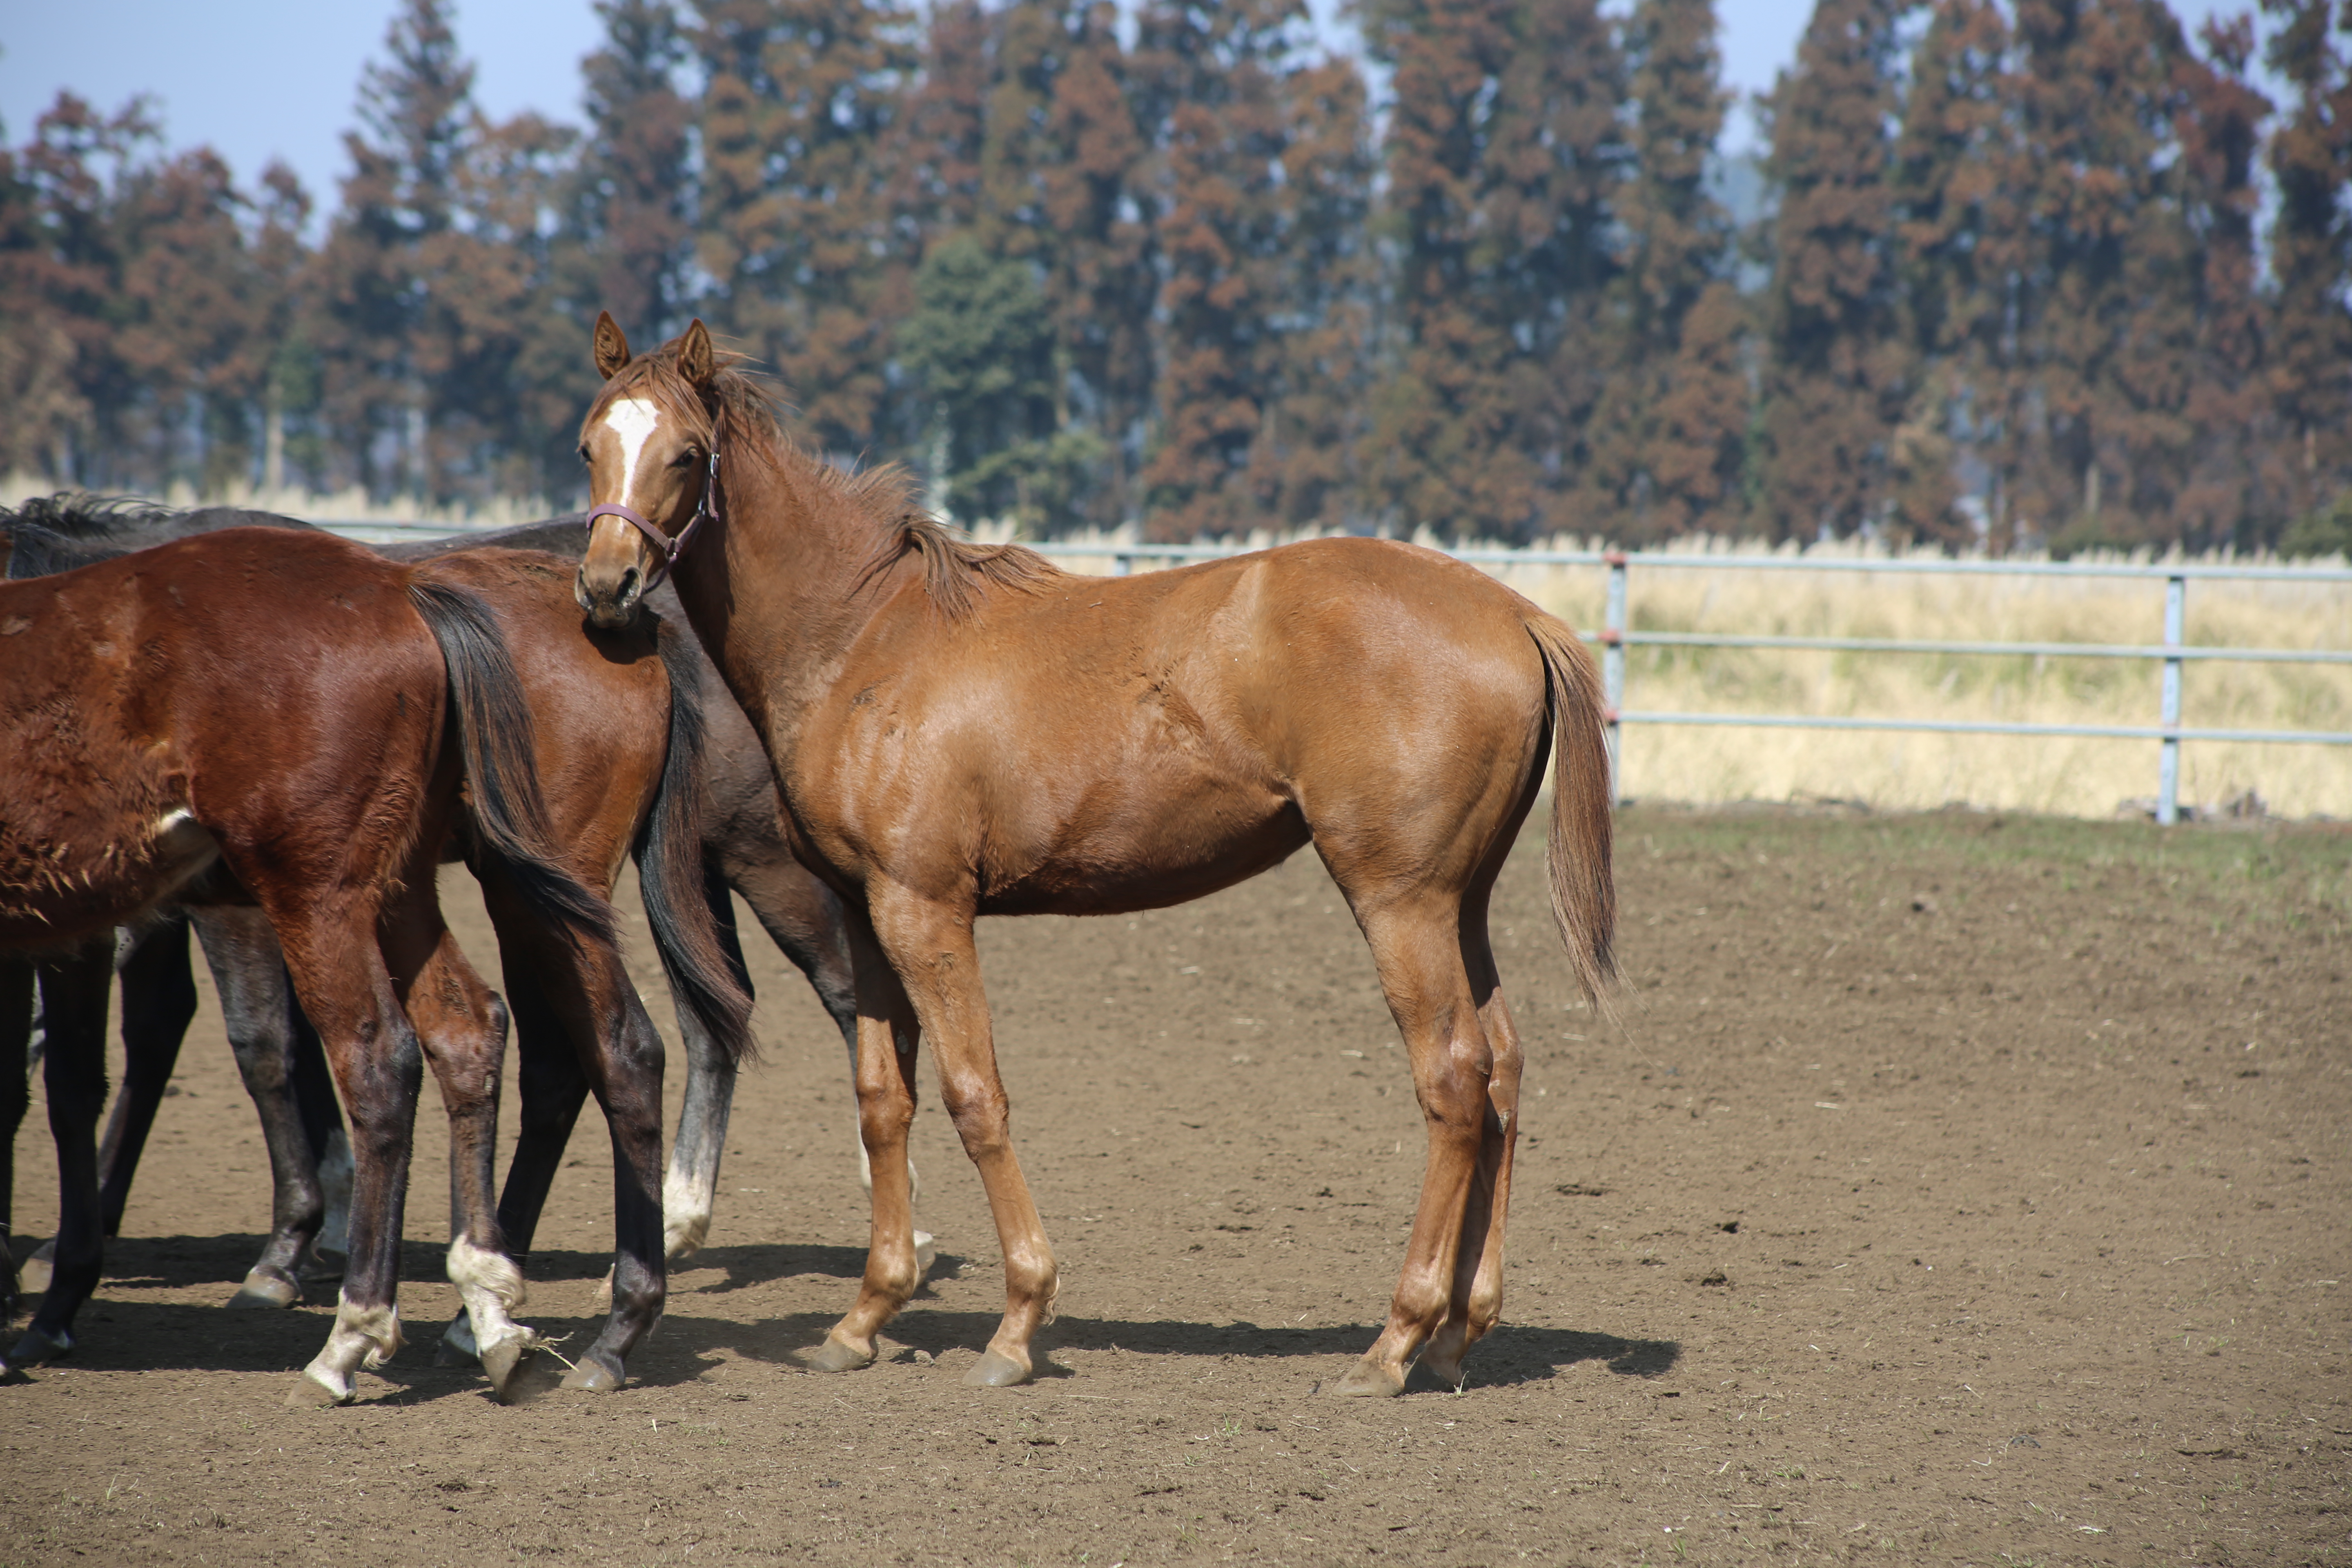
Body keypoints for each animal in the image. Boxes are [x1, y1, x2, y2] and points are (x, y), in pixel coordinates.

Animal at [569, 319, 1618, 1401]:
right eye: (589, 446)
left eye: (686, 453)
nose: (605, 589)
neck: (864, 636)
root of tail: (1515, 614)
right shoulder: (863, 914)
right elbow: (882, 1103)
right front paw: (863, 1319)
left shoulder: (924, 909)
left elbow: (974, 1097)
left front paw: (1017, 1325)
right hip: (1462, 906)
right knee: (1501, 1073)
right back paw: (1458, 1334)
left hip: (1400, 903)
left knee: (1452, 1081)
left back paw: (1396, 1341)